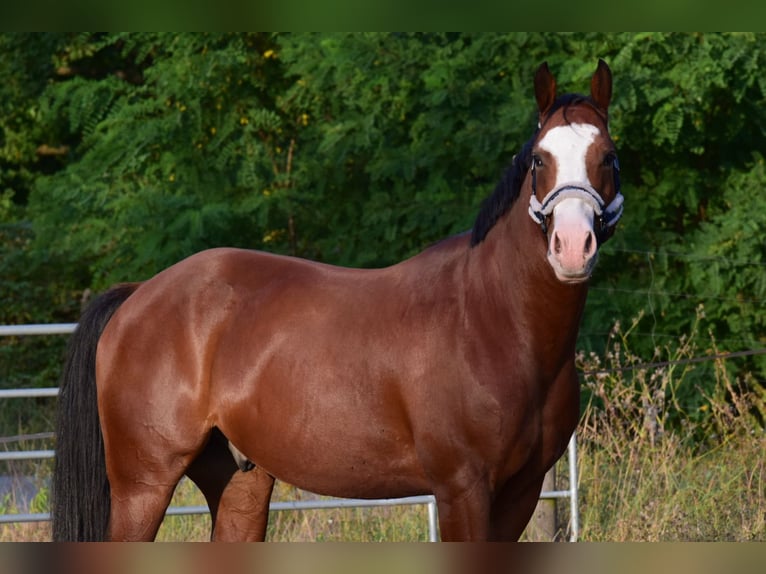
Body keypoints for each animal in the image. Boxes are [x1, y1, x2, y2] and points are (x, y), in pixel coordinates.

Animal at [51, 60, 624, 544]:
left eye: (608, 157)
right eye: (539, 159)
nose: (573, 246)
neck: (492, 321)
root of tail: (140, 295)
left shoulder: (521, 493)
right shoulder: (463, 490)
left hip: (241, 482)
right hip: (143, 485)